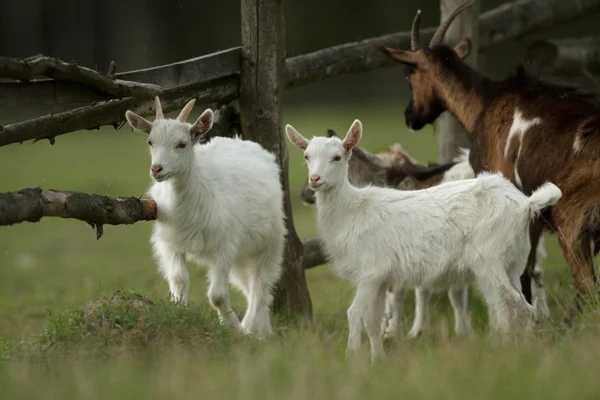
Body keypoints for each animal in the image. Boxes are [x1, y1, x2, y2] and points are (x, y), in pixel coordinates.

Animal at [380, 0, 600, 302]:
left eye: (409, 74)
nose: (410, 116)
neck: (485, 103)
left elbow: (523, 271)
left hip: (572, 218)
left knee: (588, 286)